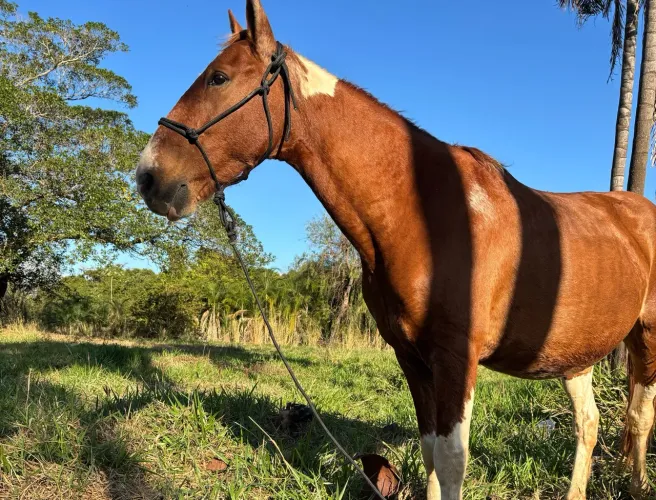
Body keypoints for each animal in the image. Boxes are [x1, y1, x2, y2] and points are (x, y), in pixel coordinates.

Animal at [135, 1, 656, 498]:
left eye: (218, 77)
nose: (148, 176)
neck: (425, 215)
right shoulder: (411, 357)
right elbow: (430, 454)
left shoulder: (456, 360)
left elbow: (452, 461)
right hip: (575, 356)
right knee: (588, 424)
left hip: (645, 338)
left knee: (639, 415)